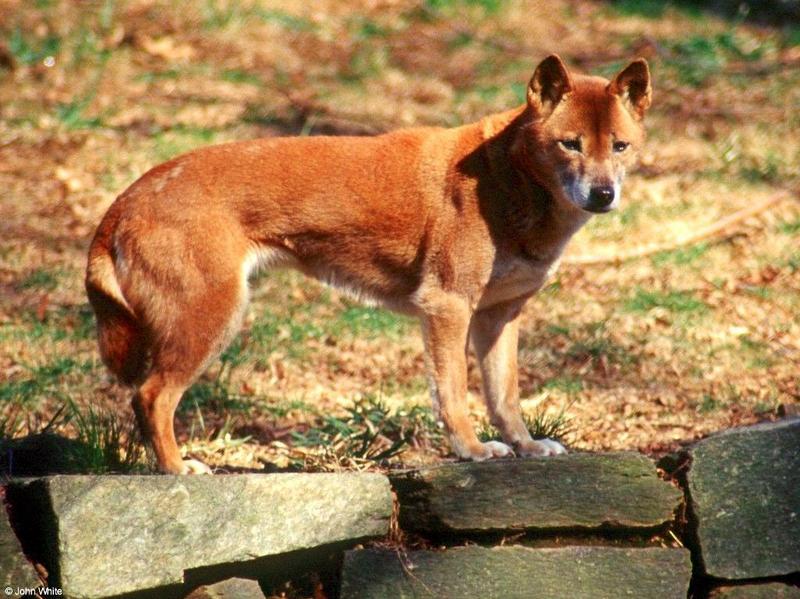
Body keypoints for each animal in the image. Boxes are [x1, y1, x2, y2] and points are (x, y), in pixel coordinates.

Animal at [86, 55, 648, 474]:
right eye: (569, 144)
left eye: (621, 146)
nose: (603, 195)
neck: (506, 179)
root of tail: (123, 202)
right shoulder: (446, 306)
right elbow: (454, 394)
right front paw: (472, 450)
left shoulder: (499, 316)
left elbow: (504, 397)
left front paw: (527, 447)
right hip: (210, 318)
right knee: (151, 397)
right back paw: (177, 468)